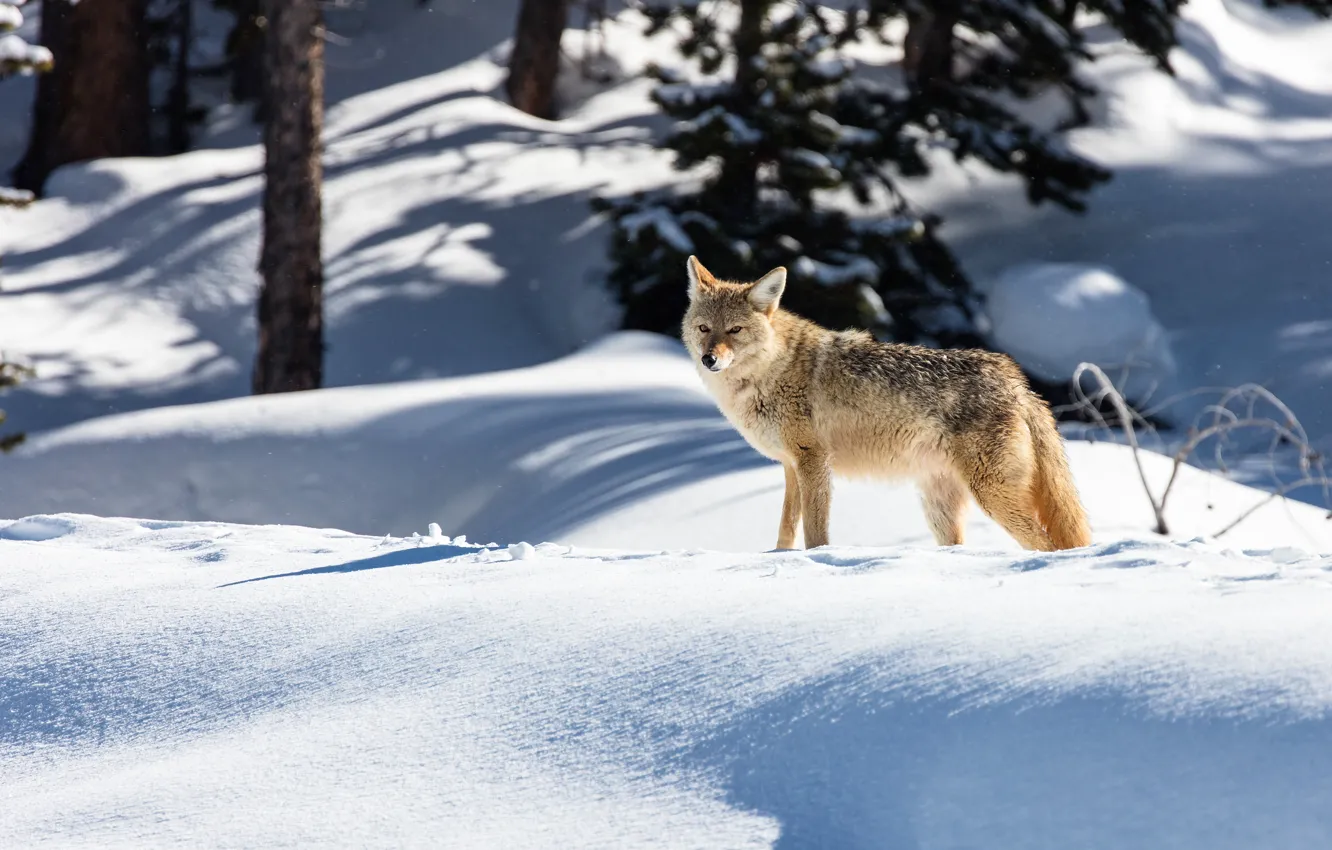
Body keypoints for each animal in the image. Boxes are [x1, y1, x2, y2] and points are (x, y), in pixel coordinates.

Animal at [681, 255, 1091, 551]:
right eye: (704, 329)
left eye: (735, 330)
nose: (709, 359)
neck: (770, 372)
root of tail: (1016, 382)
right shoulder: (790, 466)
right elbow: (785, 532)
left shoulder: (813, 461)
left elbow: (815, 534)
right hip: (941, 508)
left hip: (992, 495)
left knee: (1047, 544)